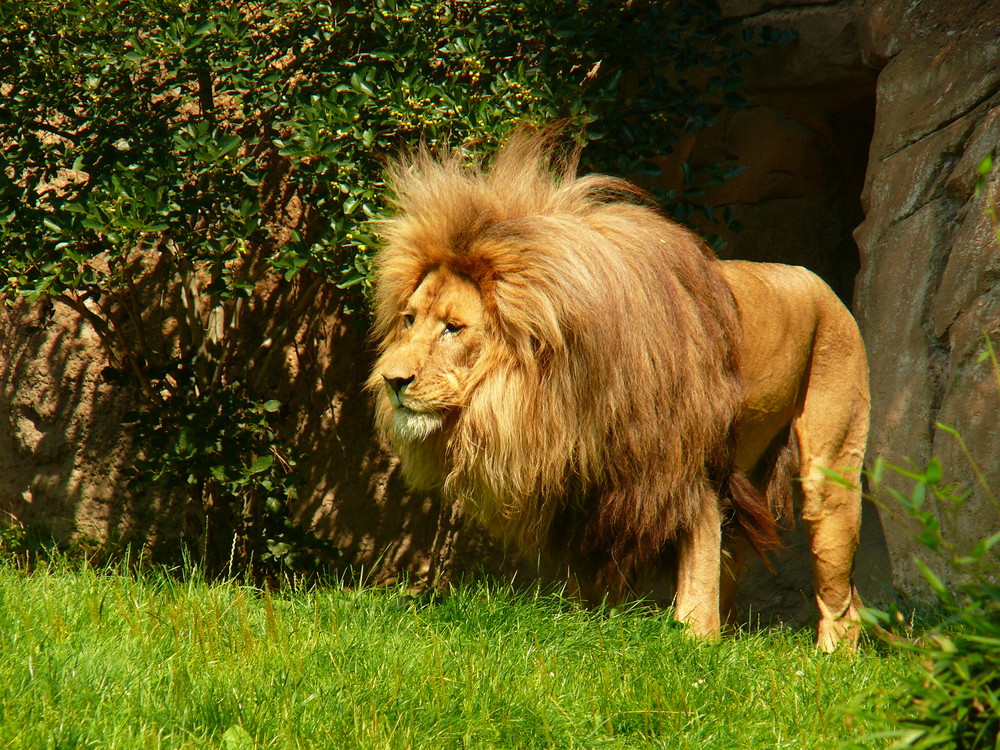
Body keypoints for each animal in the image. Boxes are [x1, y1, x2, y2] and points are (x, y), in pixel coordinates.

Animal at [366, 131, 868, 652]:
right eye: (409, 320)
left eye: (453, 328)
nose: (392, 381)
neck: (556, 388)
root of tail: (818, 281)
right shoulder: (589, 487)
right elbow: (594, 586)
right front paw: (587, 632)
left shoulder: (686, 471)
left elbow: (697, 576)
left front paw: (693, 646)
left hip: (831, 467)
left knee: (841, 592)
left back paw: (827, 660)